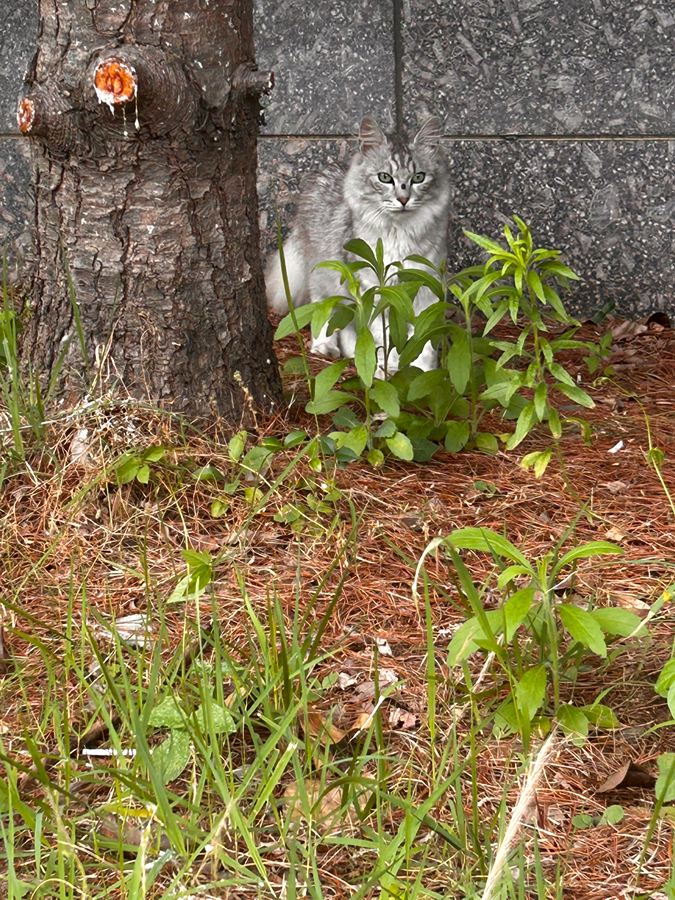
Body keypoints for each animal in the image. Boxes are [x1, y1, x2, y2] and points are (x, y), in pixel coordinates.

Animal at [266, 115, 452, 370]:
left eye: (418, 178)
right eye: (385, 178)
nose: (403, 200)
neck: (399, 233)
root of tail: (322, 172)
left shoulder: (425, 286)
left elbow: (423, 342)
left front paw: (421, 373)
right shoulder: (374, 288)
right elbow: (385, 336)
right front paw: (388, 370)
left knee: (347, 324)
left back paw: (355, 352)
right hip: (326, 277)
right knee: (324, 310)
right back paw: (326, 347)